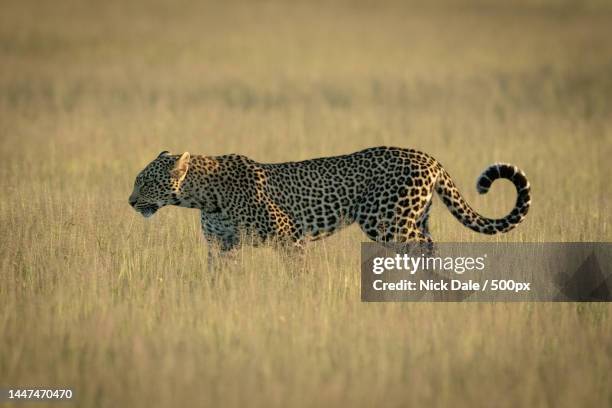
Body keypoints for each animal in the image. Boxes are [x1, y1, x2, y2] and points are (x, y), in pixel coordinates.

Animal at [128, 148, 532, 258]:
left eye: (143, 181)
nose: (130, 201)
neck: (203, 196)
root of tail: (428, 157)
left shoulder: (289, 236)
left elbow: (297, 273)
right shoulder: (222, 246)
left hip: (389, 224)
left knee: (425, 251)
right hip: (415, 220)